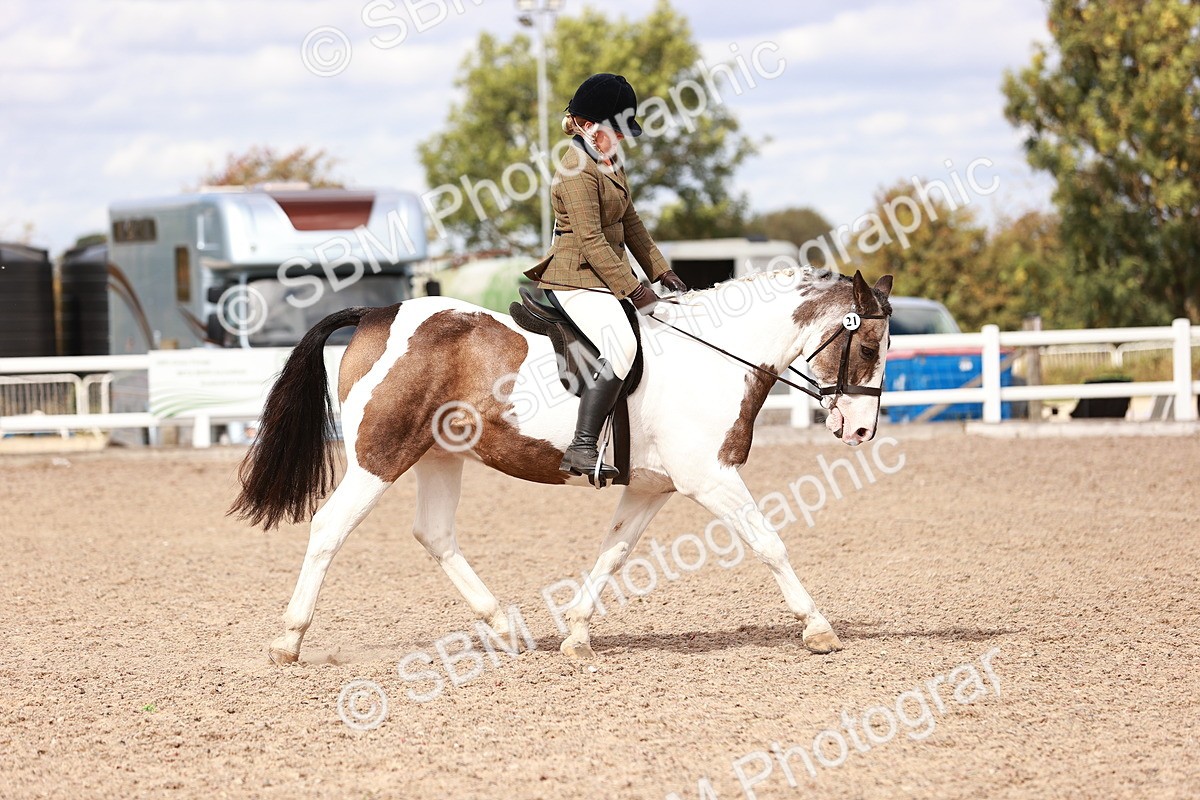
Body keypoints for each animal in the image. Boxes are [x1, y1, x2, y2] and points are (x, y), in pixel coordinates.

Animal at [231, 267, 894, 666]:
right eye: (868, 346)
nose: (861, 431)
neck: (713, 357)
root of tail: (377, 313)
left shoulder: (652, 488)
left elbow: (613, 553)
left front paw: (575, 634)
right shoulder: (712, 479)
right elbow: (769, 543)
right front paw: (819, 628)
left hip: (439, 456)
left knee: (435, 534)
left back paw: (503, 629)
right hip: (380, 455)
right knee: (329, 528)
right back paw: (288, 641)